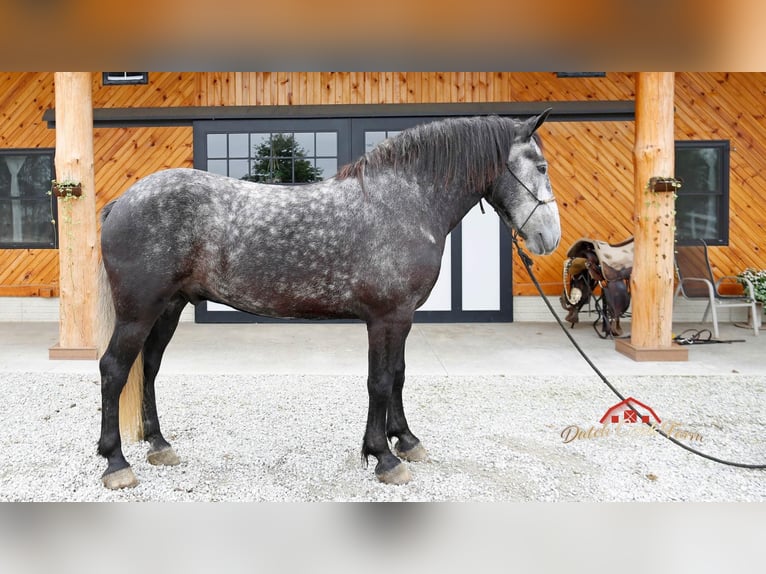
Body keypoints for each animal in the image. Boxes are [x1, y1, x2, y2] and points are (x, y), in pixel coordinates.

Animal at [97, 109, 561, 490]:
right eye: (540, 166)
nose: (549, 238)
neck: (405, 201)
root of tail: (123, 201)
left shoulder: (403, 317)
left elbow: (398, 375)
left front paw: (406, 440)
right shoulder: (386, 317)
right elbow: (379, 381)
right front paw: (384, 456)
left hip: (168, 308)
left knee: (149, 367)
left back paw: (159, 445)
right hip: (138, 312)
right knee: (114, 369)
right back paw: (116, 463)